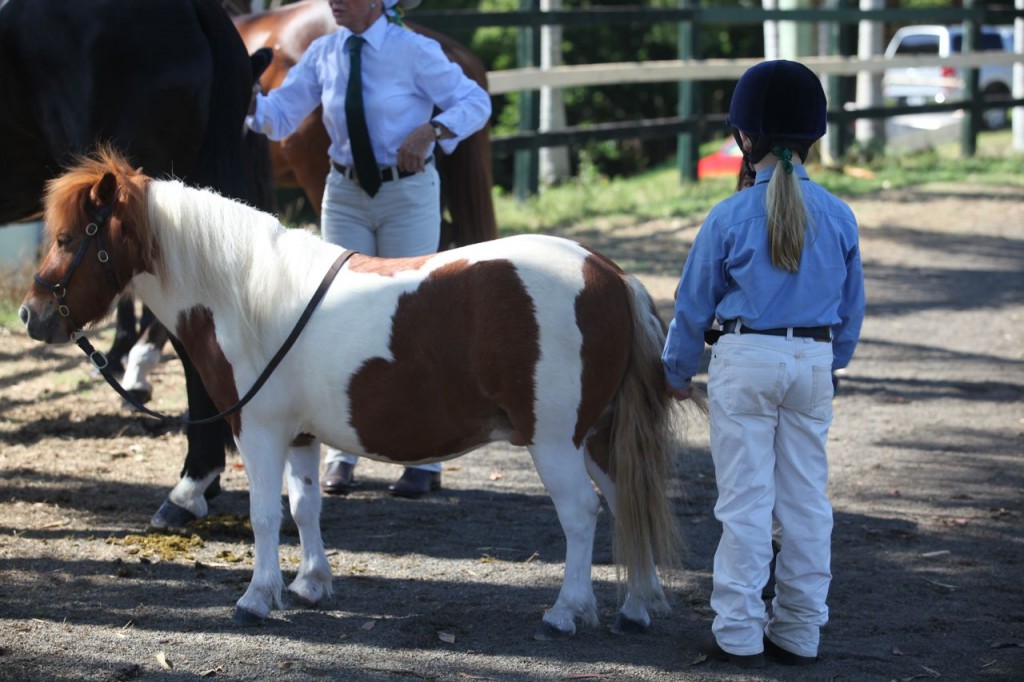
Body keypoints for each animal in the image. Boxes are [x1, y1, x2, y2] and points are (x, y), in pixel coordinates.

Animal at [18, 148, 679, 630]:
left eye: (69, 238)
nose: (30, 316)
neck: (244, 293)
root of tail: (610, 275)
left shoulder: (257, 430)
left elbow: (263, 514)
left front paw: (258, 596)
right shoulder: (301, 435)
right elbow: (304, 506)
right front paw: (311, 583)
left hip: (555, 441)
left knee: (582, 514)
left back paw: (568, 611)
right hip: (596, 437)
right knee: (625, 500)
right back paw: (637, 607)